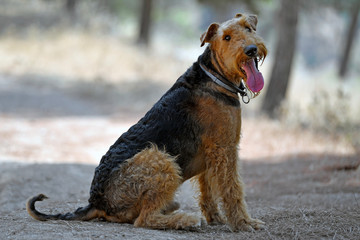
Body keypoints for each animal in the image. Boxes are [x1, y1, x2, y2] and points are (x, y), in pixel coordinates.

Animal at [26, 12, 268, 231]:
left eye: (248, 28)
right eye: (226, 37)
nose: (251, 50)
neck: (214, 77)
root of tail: (96, 202)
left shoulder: (213, 151)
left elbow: (208, 191)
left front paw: (216, 218)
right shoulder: (225, 149)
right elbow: (232, 189)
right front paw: (244, 223)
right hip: (160, 159)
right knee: (144, 219)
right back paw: (186, 220)